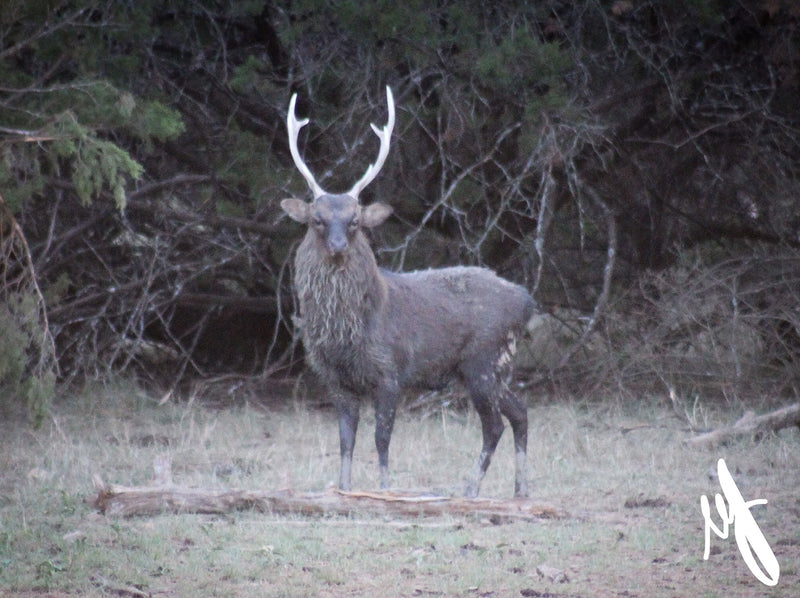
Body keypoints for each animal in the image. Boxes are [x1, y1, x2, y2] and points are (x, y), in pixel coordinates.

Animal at [278, 86, 536, 500]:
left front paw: (385, 490)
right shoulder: (334, 379)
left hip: (484, 359)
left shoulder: (390, 372)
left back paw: (471, 489)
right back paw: (520, 489)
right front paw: (344, 489)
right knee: (520, 411)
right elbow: (346, 441)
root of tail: (527, 302)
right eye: (318, 220)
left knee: (495, 423)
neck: (347, 333)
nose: (338, 246)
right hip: (495, 368)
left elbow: (382, 439)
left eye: (354, 221)